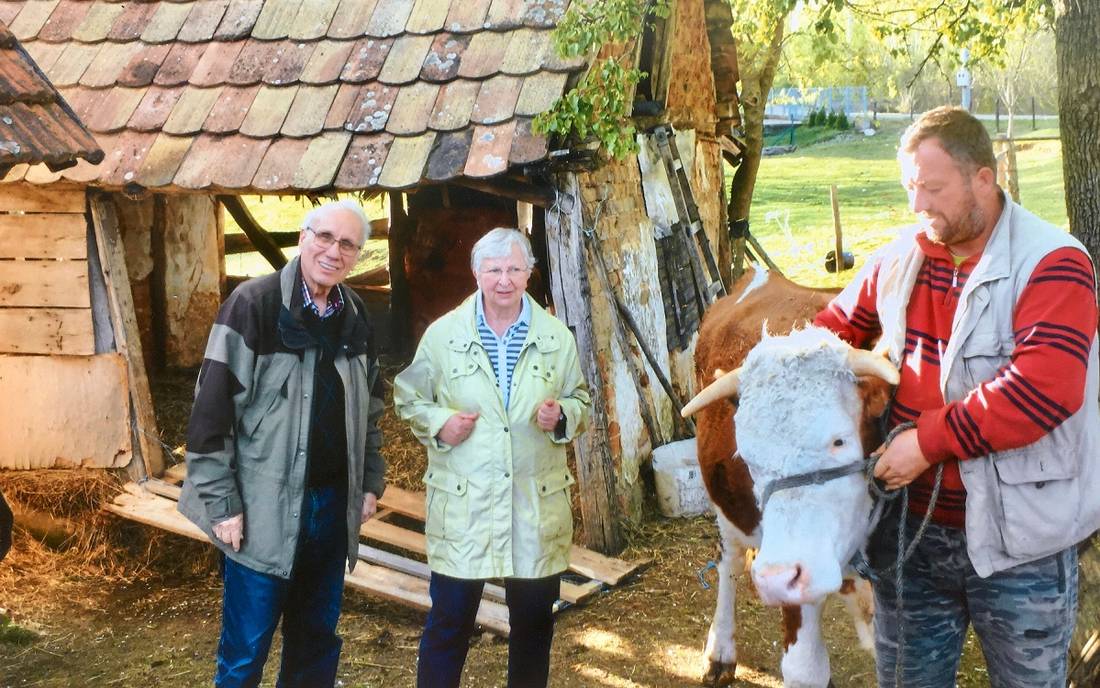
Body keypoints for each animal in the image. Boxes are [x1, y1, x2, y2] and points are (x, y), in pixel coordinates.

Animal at [686, 265, 893, 682]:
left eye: (839, 440)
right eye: (747, 455)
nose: (776, 577)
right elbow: (805, 667)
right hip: (724, 511)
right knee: (729, 562)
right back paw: (721, 650)